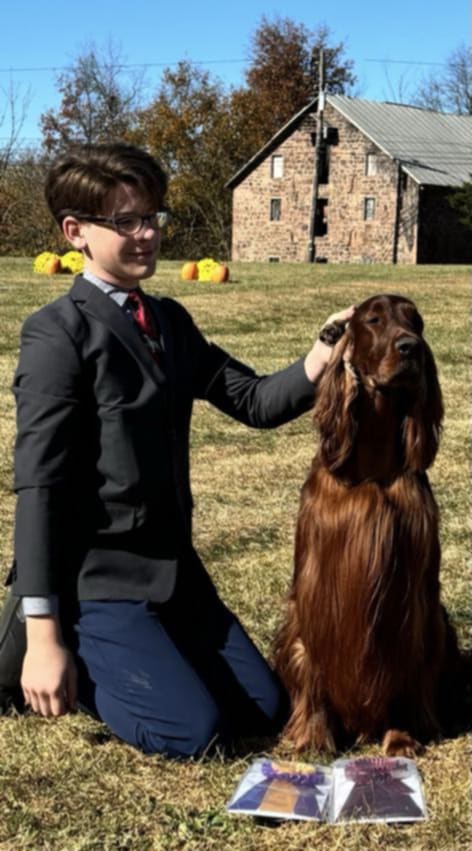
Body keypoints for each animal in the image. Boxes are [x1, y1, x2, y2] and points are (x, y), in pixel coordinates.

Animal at [274, 294, 461, 757]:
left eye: (417, 322)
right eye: (374, 320)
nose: (411, 348)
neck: (373, 468)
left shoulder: (409, 593)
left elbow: (401, 660)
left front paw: (400, 737)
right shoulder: (316, 586)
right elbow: (315, 664)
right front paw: (314, 738)